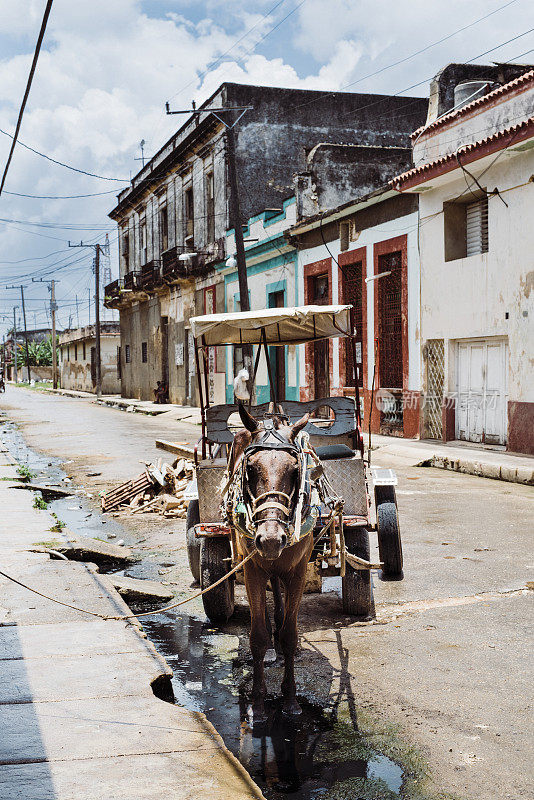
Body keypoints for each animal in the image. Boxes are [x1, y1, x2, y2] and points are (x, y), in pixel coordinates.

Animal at [229, 404, 314, 720]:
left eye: (295, 470)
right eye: (250, 469)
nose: (270, 539)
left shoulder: (298, 569)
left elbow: (289, 635)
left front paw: (290, 700)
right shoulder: (252, 567)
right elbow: (257, 636)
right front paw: (258, 702)